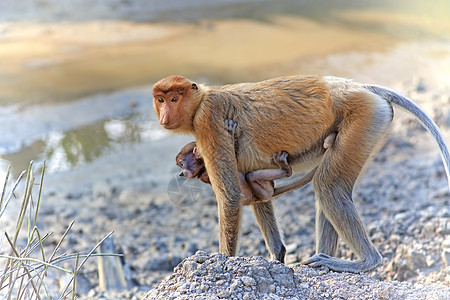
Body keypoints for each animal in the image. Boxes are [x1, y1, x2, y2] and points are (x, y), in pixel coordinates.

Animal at [176, 120, 338, 205]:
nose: (181, 173)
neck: (203, 165)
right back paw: (285, 170)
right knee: (250, 177)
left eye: (181, 164)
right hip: (263, 191)